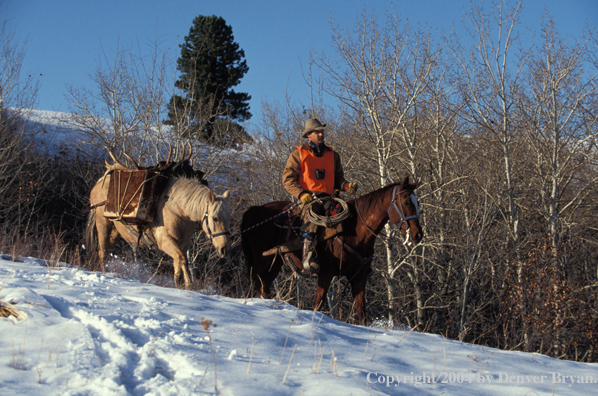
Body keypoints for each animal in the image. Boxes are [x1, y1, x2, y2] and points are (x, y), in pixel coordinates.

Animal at [241, 176, 424, 324]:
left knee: (264, 285)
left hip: (275, 262)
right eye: (406, 202)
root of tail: (254, 210)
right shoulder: (326, 273)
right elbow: (318, 304)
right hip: (261, 259)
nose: (418, 234)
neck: (354, 230)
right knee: (256, 280)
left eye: (417, 203)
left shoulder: (359, 277)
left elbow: (362, 313)